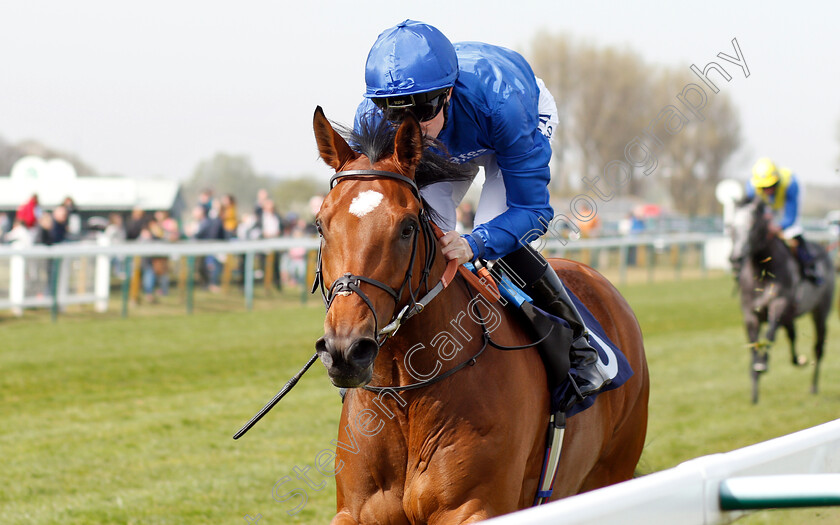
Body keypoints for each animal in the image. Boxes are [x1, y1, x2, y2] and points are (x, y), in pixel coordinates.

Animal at [312, 107, 648, 524]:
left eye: (407, 227)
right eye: (320, 224)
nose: (345, 350)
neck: (406, 394)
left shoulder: (472, 507)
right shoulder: (357, 512)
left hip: (613, 471)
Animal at [724, 194, 836, 404]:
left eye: (753, 225)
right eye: (731, 226)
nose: (735, 258)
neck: (763, 271)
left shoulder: (779, 304)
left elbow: (769, 335)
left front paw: (762, 364)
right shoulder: (750, 314)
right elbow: (754, 345)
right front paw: (754, 391)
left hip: (820, 311)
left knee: (818, 347)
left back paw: (813, 386)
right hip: (792, 314)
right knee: (792, 335)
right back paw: (797, 360)